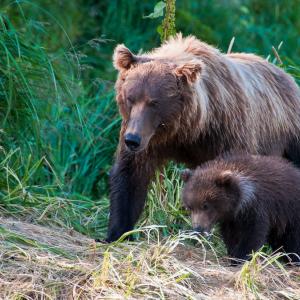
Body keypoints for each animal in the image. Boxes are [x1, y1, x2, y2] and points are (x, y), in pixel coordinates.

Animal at [106, 34, 300, 243]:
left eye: (154, 102)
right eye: (130, 98)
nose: (132, 140)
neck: (188, 129)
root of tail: (287, 76)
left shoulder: (226, 133)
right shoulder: (150, 139)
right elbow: (130, 175)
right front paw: (116, 233)